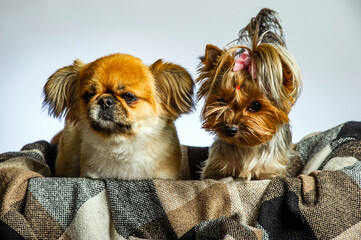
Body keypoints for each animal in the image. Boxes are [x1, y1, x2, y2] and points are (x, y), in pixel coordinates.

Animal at [197, 8, 300, 179]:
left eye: (256, 105)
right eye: (221, 101)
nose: (230, 129)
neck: (246, 146)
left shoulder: (271, 172)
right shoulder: (215, 169)